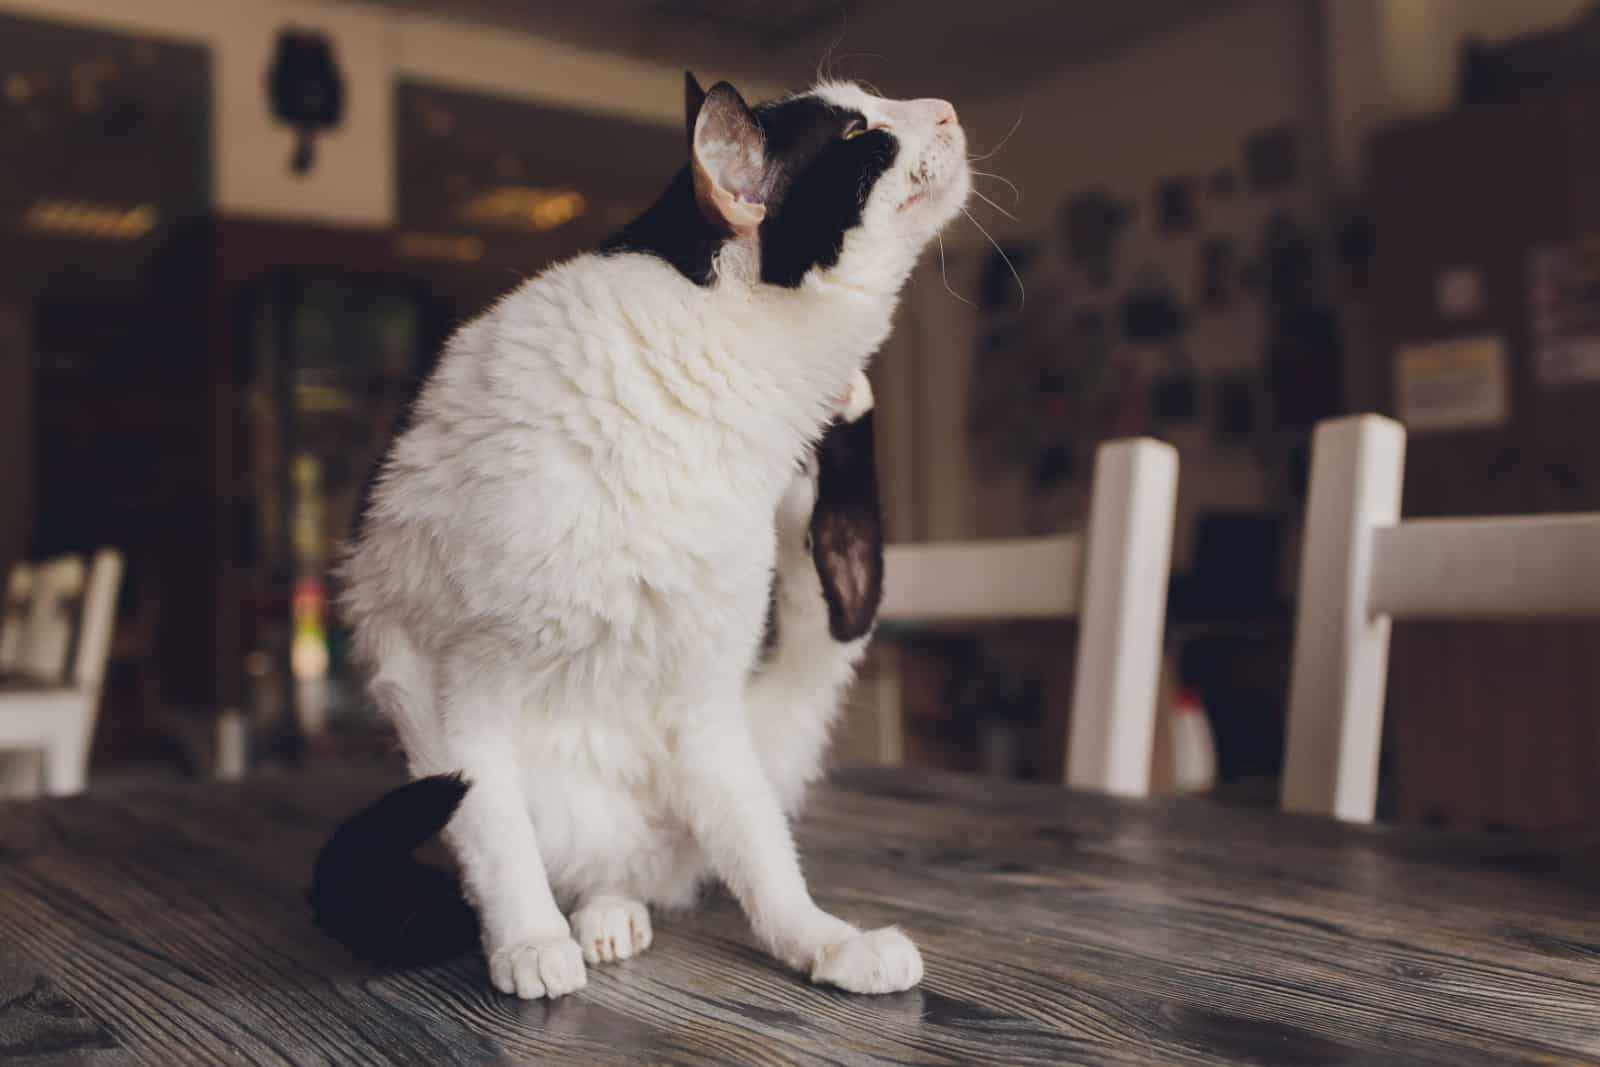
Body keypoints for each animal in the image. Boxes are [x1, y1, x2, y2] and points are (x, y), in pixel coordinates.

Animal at [312, 75, 960, 1004]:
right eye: (858, 132)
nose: (946, 108)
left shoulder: (707, 692)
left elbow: (768, 864)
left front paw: (818, 941)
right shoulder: (452, 687)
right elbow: (494, 833)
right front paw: (531, 942)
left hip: (765, 706)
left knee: (827, 617)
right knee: (574, 861)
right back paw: (598, 917)